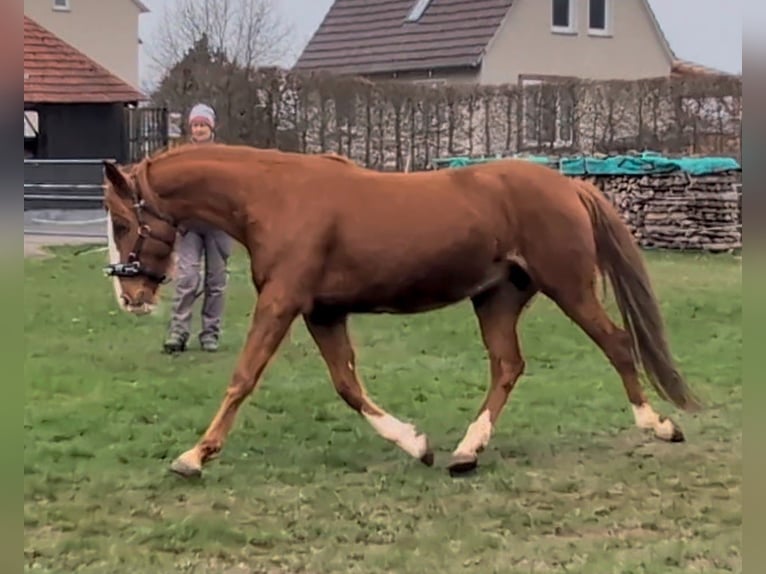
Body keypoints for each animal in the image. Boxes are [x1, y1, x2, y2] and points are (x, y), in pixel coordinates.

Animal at [101, 142, 702, 478]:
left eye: (124, 223)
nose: (130, 298)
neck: (275, 199)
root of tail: (570, 186)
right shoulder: (322, 312)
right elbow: (348, 387)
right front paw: (418, 446)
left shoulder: (283, 302)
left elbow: (243, 377)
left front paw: (194, 456)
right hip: (497, 298)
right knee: (508, 365)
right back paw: (466, 451)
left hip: (569, 287)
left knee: (617, 344)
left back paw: (658, 426)